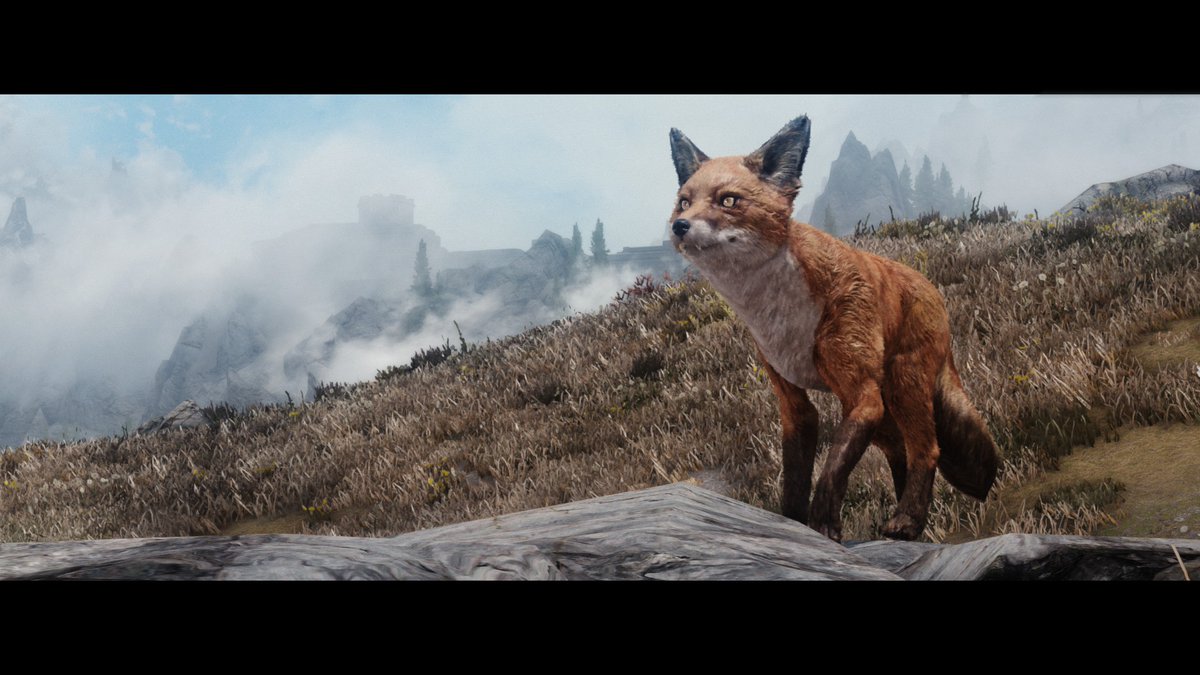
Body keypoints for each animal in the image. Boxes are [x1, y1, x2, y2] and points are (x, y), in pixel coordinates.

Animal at [667, 116, 999, 541]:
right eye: (684, 201)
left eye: (728, 200)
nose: (679, 226)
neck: (780, 316)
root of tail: (931, 288)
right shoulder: (794, 403)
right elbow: (795, 479)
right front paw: (793, 526)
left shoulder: (862, 397)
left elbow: (832, 471)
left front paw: (825, 524)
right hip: (884, 416)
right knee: (901, 454)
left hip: (901, 388)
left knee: (927, 450)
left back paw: (907, 522)